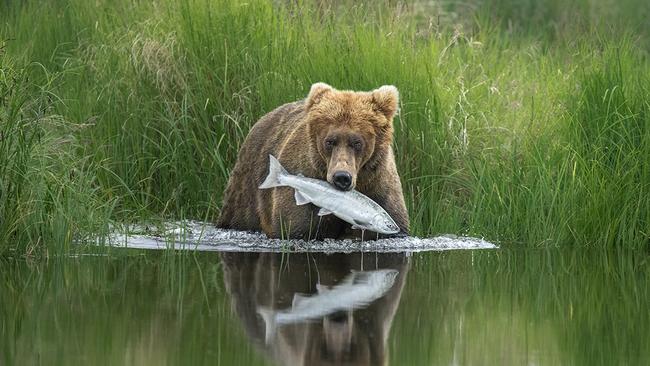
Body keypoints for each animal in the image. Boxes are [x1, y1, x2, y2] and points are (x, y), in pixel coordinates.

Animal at [218, 82, 410, 240]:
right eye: (329, 141)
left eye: (357, 142)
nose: (341, 177)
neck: (360, 182)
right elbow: (296, 227)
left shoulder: (380, 185)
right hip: (247, 186)